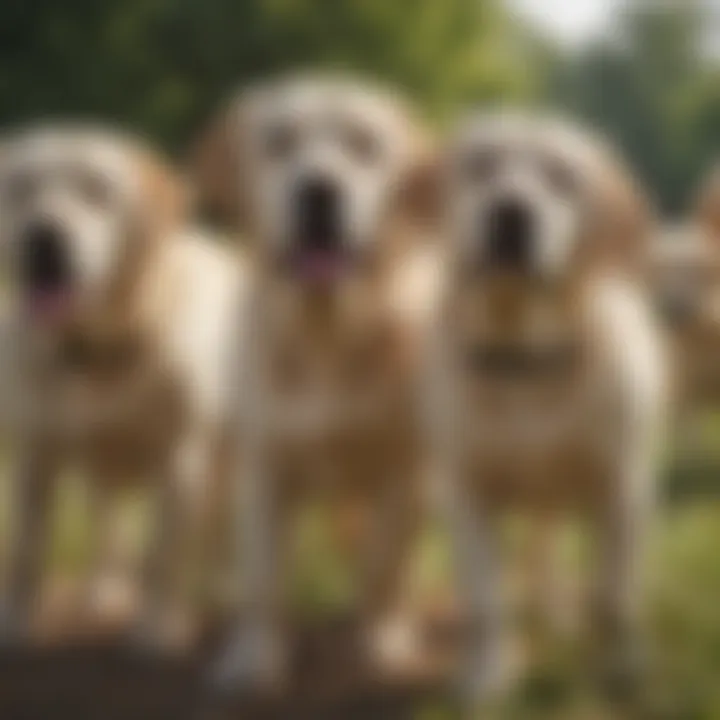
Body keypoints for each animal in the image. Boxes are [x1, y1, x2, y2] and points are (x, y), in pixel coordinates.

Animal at [0, 125, 248, 648]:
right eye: (21, 188)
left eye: (96, 189)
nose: (42, 235)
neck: (100, 349)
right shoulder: (36, 453)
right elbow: (28, 547)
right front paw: (14, 620)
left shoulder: (182, 461)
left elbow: (163, 556)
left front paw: (156, 628)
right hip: (101, 468)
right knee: (106, 525)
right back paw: (103, 591)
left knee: (222, 536)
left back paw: (225, 592)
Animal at [191, 74, 438, 692]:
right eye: (279, 142)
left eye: (365, 145)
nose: (319, 191)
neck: (327, 331)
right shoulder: (264, 465)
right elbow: (261, 576)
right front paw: (251, 659)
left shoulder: (404, 472)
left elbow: (383, 565)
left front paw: (380, 643)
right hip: (220, 465)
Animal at [428, 112, 668, 704]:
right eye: (480, 163)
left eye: (562, 176)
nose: (511, 212)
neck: (525, 360)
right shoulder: (464, 493)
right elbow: (485, 602)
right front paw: (485, 675)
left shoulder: (624, 490)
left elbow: (613, 597)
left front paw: (621, 669)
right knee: (542, 551)